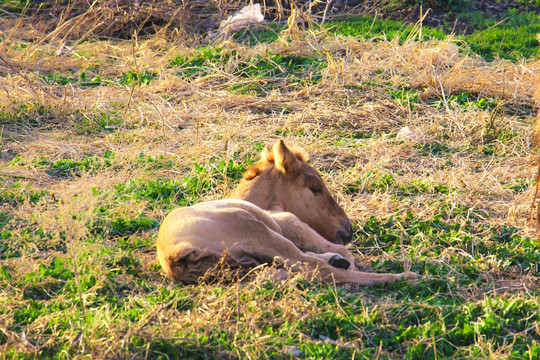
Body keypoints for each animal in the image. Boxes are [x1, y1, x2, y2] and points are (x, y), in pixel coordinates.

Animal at [156, 140, 418, 284]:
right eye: (315, 188)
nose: (347, 229)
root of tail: (174, 255)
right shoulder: (289, 223)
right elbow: (336, 253)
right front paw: (343, 258)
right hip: (262, 234)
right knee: (320, 270)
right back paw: (404, 278)